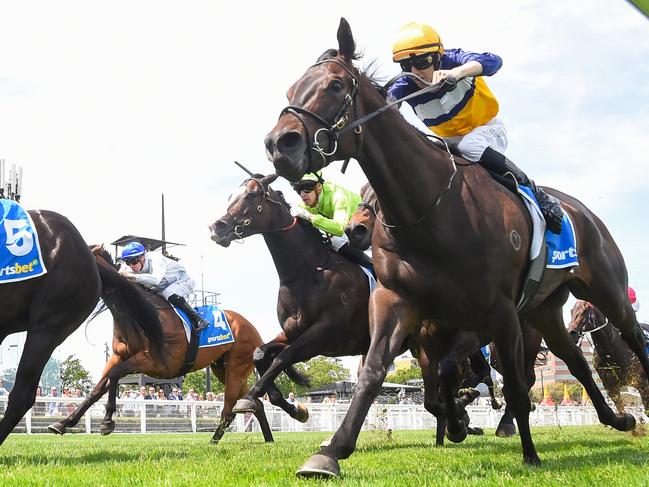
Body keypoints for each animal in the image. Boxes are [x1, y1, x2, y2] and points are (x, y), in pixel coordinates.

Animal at [47, 250, 270, 444]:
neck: (139, 314)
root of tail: (252, 328)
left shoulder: (157, 363)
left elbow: (114, 375)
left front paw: (107, 422)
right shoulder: (117, 356)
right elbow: (98, 388)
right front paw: (63, 423)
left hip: (236, 368)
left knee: (229, 408)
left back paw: (212, 442)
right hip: (223, 369)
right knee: (255, 403)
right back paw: (268, 440)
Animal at [264, 19, 644, 476]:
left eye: (336, 85)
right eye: (290, 90)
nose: (279, 144)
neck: (430, 211)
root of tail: (583, 211)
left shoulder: (499, 311)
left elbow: (516, 386)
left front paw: (528, 453)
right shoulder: (397, 301)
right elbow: (373, 372)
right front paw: (330, 452)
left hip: (605, 290)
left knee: (631, 335)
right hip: (544, 311)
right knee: (575, 360)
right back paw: (618, 418)